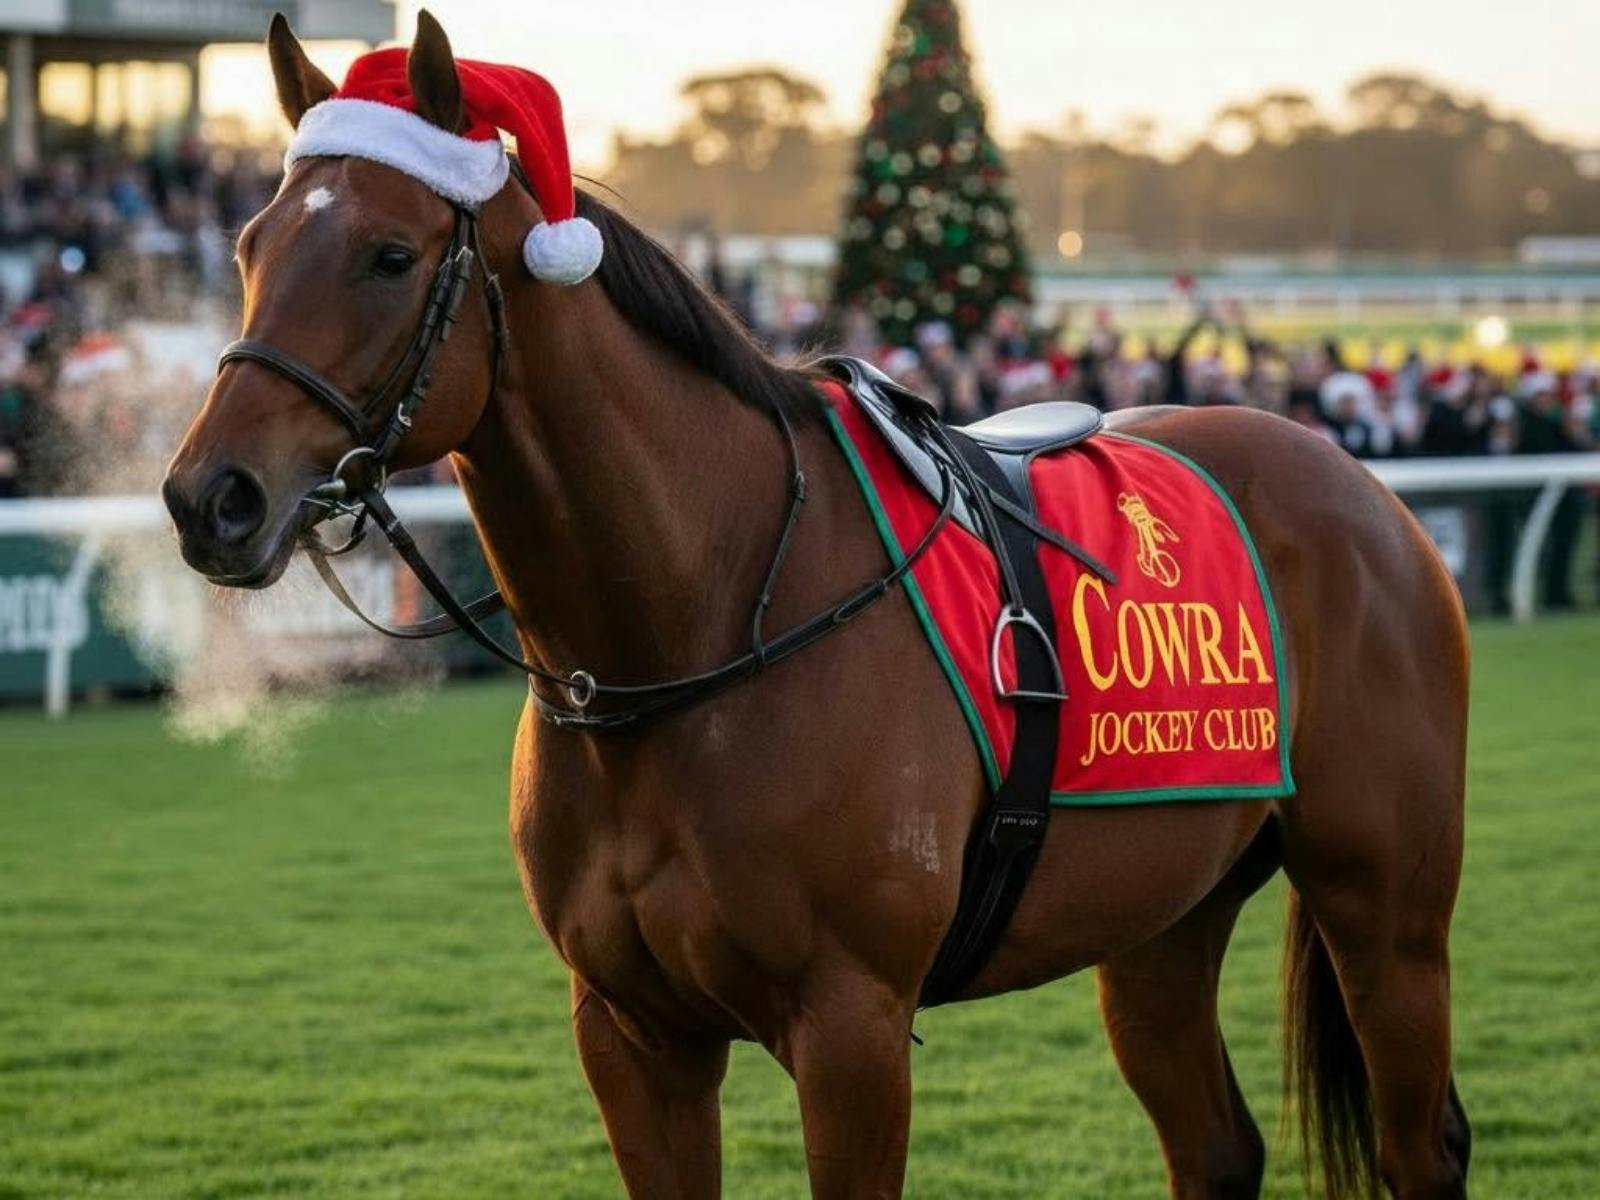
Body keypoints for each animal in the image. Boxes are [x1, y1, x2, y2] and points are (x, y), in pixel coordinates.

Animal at [161, 16, 1471, 1198]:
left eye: (389, 255)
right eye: (250, 244)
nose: (209, 497)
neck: (692, 635)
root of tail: (1361, 490)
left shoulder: (850, 1028)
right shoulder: (632, 1034)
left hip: (1385, 911)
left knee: (1420, 1146)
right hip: (1157, 921)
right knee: (1214, 1149)